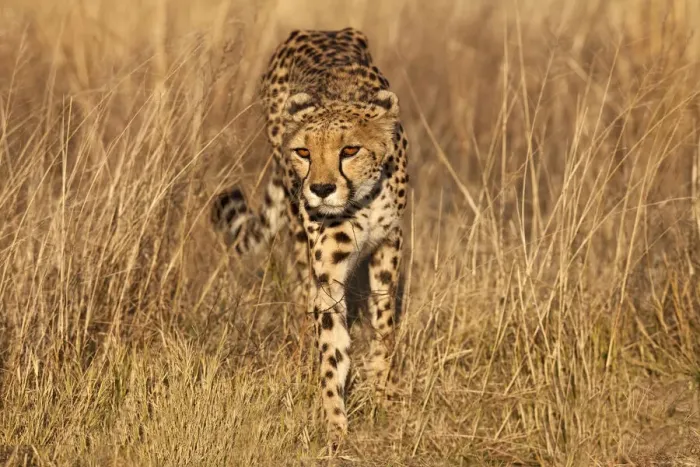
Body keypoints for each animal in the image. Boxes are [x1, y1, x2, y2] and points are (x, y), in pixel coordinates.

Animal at [211, 27, 409, 438]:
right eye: (303, 152)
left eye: (349, 150)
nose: (319, 189)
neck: (361, 199)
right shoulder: (327, 272)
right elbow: (332, 345)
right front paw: (335, 426)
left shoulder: (390, 242)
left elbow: (384, 323)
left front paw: (383, 393)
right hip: (295, 224)